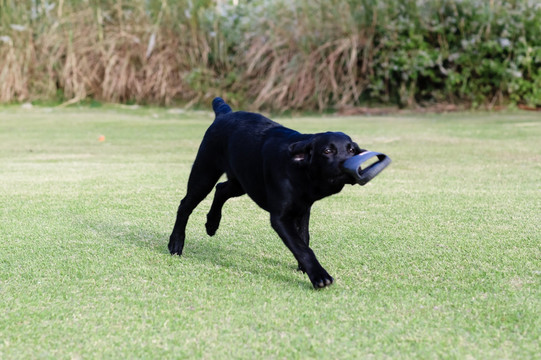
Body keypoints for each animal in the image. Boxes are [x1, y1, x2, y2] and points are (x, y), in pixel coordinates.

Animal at [169, 97, 362, 288]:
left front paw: (304, 268)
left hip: (242, 182)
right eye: (327, 151)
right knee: (185, 205)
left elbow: (304, 238)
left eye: (351, 149)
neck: (299, 171)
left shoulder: (302, 210)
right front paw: (319, 276)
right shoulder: (280, 217)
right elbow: (301, 247)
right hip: (205, 175)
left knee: (221, 189)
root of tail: (224, 114)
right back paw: (176, 243)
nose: (351, 164)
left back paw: (212, 223)